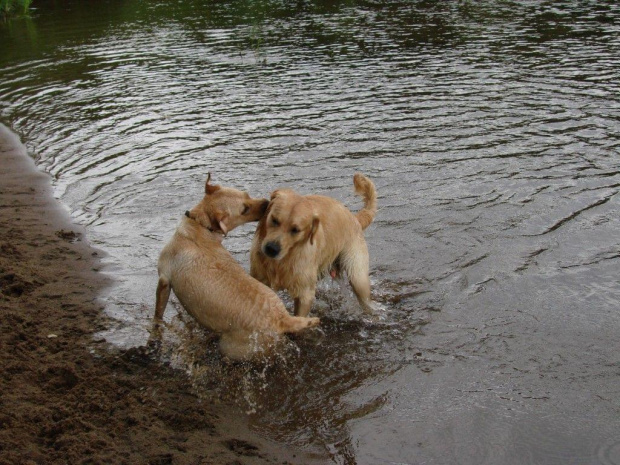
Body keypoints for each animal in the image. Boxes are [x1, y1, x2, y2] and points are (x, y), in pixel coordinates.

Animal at [154, 174, 320, 358]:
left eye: (247, 195)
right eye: (244, 208)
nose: (267, 203)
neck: (201, 226)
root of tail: (282, 319)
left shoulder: (164, 280)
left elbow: (158, 313)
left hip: (230, 347)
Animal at [248, 172, 376, 318]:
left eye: (295, 230)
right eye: (274, 220)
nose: (271, 249)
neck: (283, 260)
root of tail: (355, 219)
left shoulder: (305, 295)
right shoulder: (258, 279)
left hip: (358, 277)